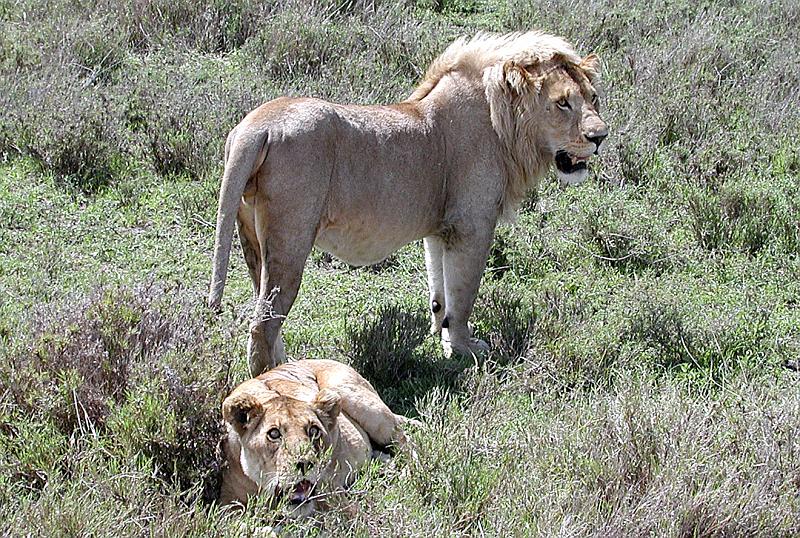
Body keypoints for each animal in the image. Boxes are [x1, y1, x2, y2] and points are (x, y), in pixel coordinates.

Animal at [208, 31, 608, 376]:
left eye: (593, 98)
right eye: (562, 103)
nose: (600, 136)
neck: (503, 124)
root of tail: (256, 126)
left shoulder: (440, 230)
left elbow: (440, 289)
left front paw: (441, 334)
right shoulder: (472, 226)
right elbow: (464, 294)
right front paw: (465, 347)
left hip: (251, 236)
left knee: (265, 312)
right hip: (290, 240)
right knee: (263, 322)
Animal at [220, 359, 415, 516]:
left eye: (314, 431)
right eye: (274, 434)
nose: (305, 464)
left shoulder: (333, 492)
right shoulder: (227, 504)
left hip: (348, 395)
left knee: (407, 443)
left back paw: (408, 474)